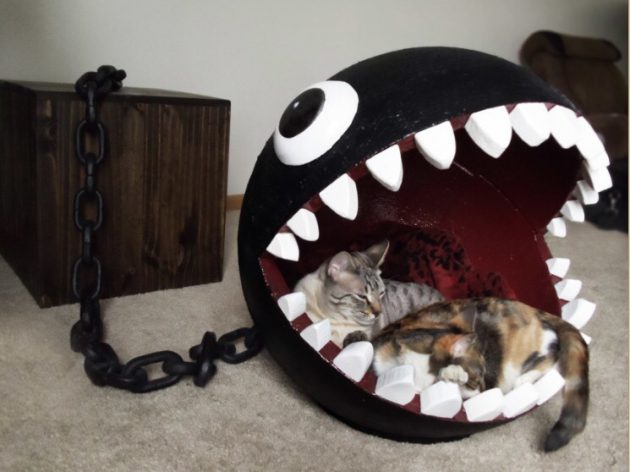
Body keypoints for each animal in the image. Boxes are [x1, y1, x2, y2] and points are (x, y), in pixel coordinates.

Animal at [371, 297, 589, 452]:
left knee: (555, 352)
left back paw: (523, 379)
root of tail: (538, 311)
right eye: (478, 377)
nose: (485, 386)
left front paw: (452, 373)